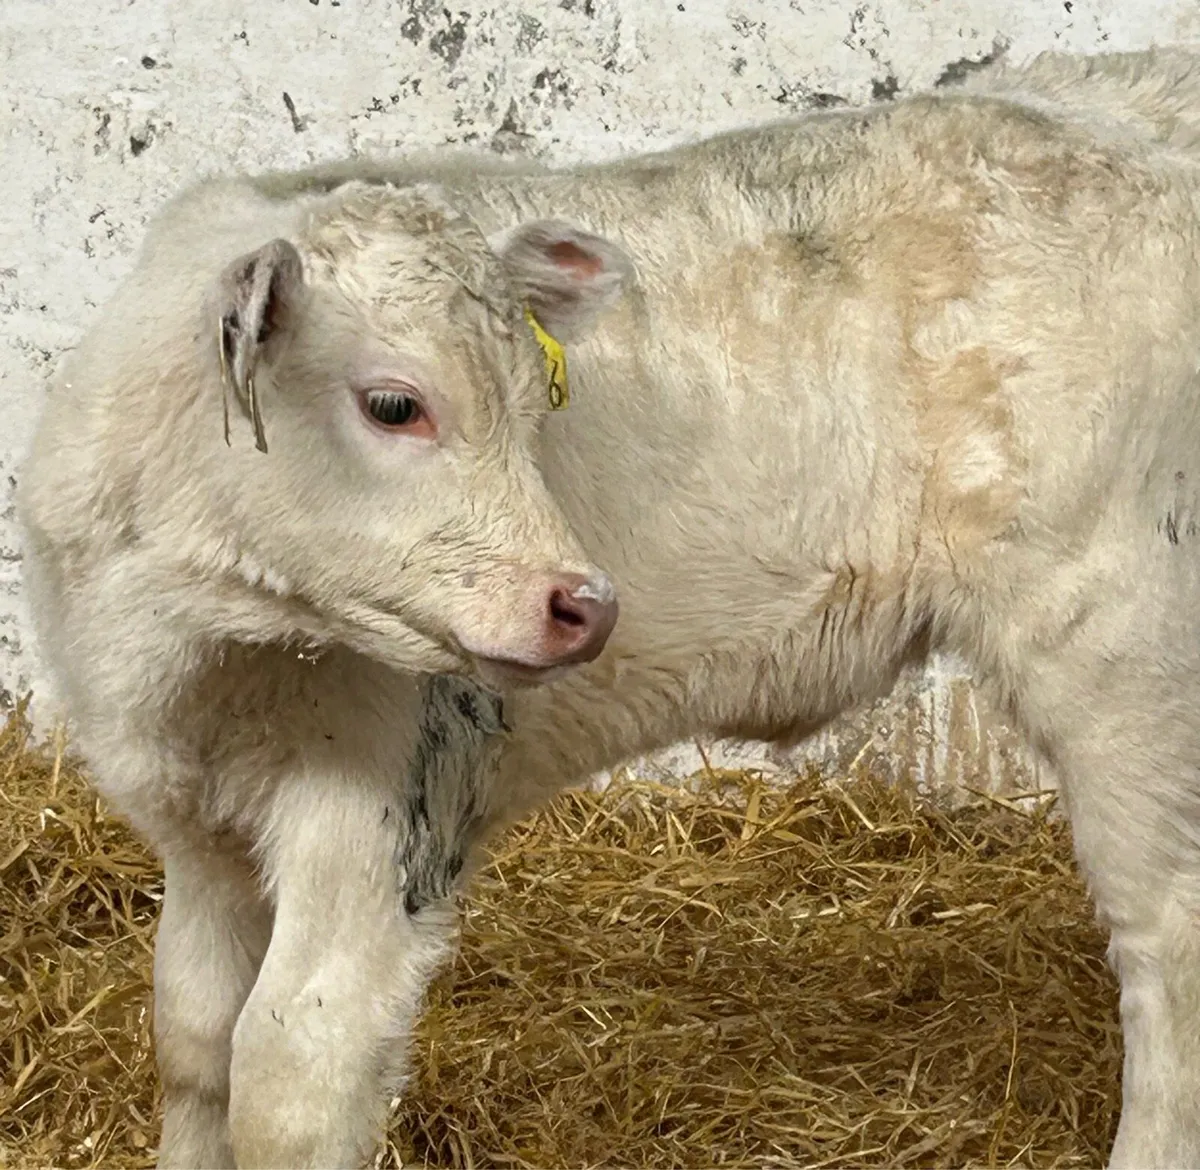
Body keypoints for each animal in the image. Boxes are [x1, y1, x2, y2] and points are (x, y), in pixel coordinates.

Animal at [17, 45, 1200, 1170]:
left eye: (530, 402)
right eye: (393, 403)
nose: (583, 604)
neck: (200, 640)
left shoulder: (384, 806)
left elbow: (288, 1077)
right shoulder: (193, 828)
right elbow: (193, 1041)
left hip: (1119, 635)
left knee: (1169, 932)